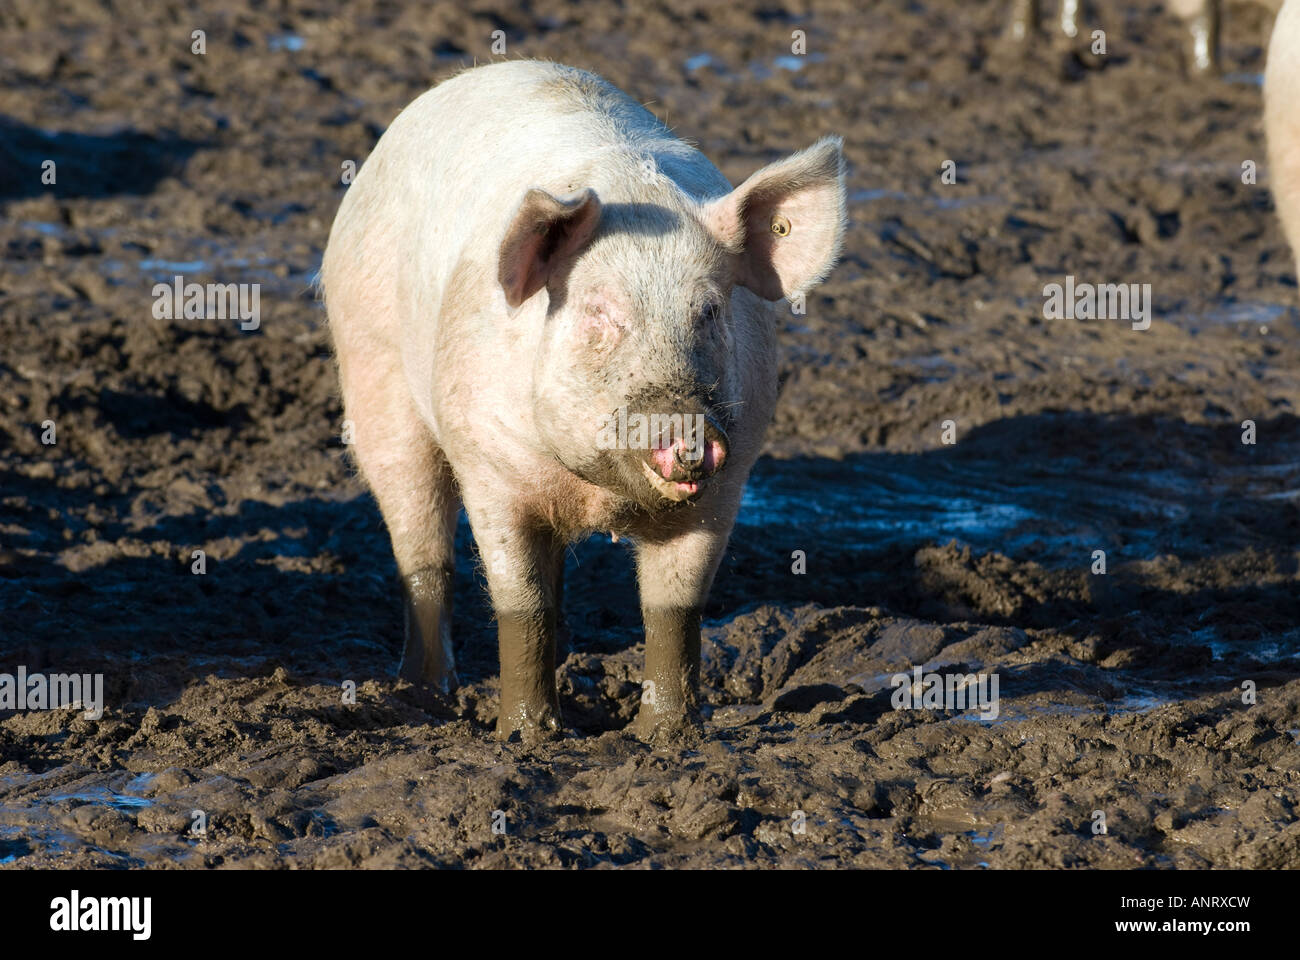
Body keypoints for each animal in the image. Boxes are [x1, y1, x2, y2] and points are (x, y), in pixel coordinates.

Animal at [320, 61, 847, 742]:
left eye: (708, 311)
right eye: (599, 312)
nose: (685, 427)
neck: (597, 492)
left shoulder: (728, 482)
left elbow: (675, 609)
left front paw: (666, 737)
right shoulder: (489, 467)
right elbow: (522, 606)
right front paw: (526, 737)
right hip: (373, 372)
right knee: (421, 545)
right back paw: (425, 694)